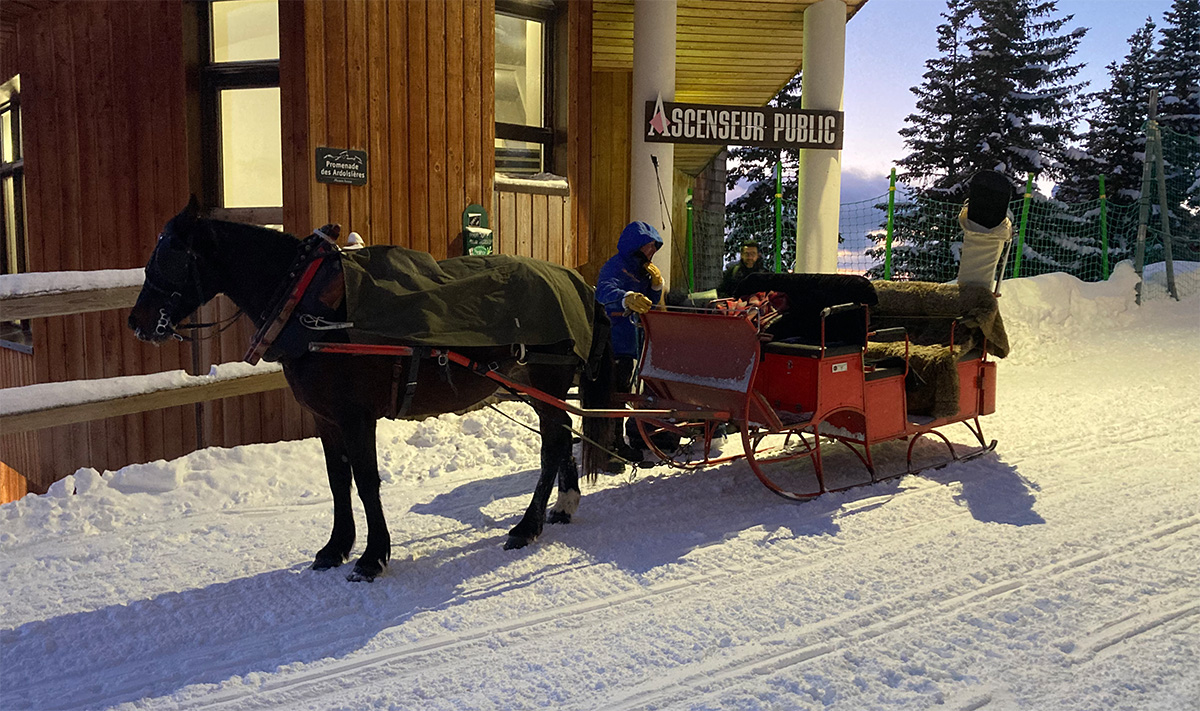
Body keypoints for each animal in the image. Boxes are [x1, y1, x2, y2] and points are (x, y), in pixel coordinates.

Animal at [127, 199, 614, 583]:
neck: (310, 304)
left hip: (546, 380)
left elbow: (365, 482)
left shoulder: (356, 415)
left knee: (553, 442)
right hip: (531, 385)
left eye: (171, 256)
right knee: (563, 432)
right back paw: (563, 505)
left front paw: (372, 556)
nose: (136, 322)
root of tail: (579, 283)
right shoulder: (325, 419)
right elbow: (337, 481)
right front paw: (335, 547)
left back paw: (527, 527)